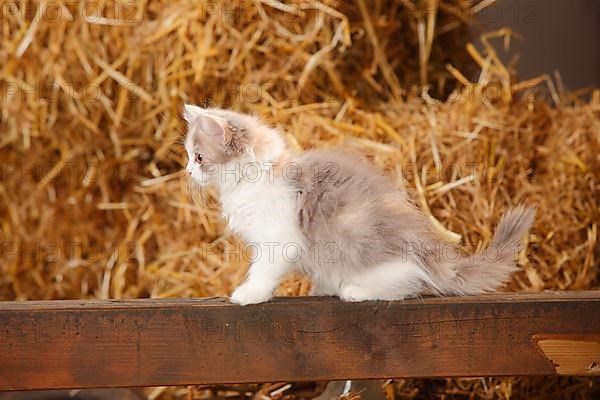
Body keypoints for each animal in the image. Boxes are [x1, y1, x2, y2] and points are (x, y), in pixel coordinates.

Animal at [183, 104, 536, 304]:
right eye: (188, 156)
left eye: (198, 157)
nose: (187, 171)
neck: (255, 178)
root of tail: (432, 252)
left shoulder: (280, 239)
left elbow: (263, 271)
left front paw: (248, 295)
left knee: (410, 284)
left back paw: (354, 291)